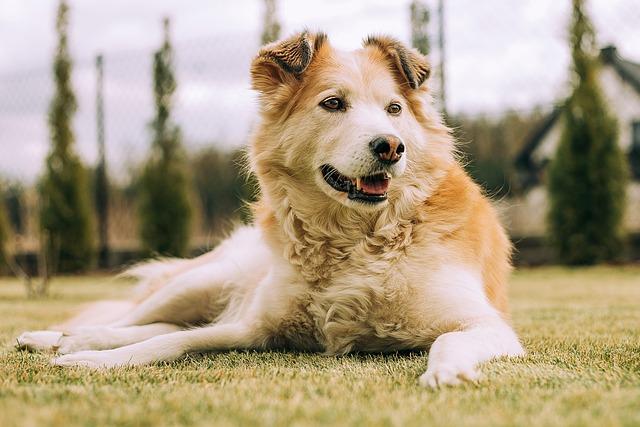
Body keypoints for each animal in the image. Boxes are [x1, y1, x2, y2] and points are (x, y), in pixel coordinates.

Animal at [16, 31, 524, 390]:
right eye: (333, 103)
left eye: (395, 109)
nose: (391, 146)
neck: (358, 238)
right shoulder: (254, 326)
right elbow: (172, 340)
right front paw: (92, 359)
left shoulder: (488, 325)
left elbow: (448, 339)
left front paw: (448, 372)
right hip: (201, 280)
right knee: (131, 320)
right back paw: (57, 338)